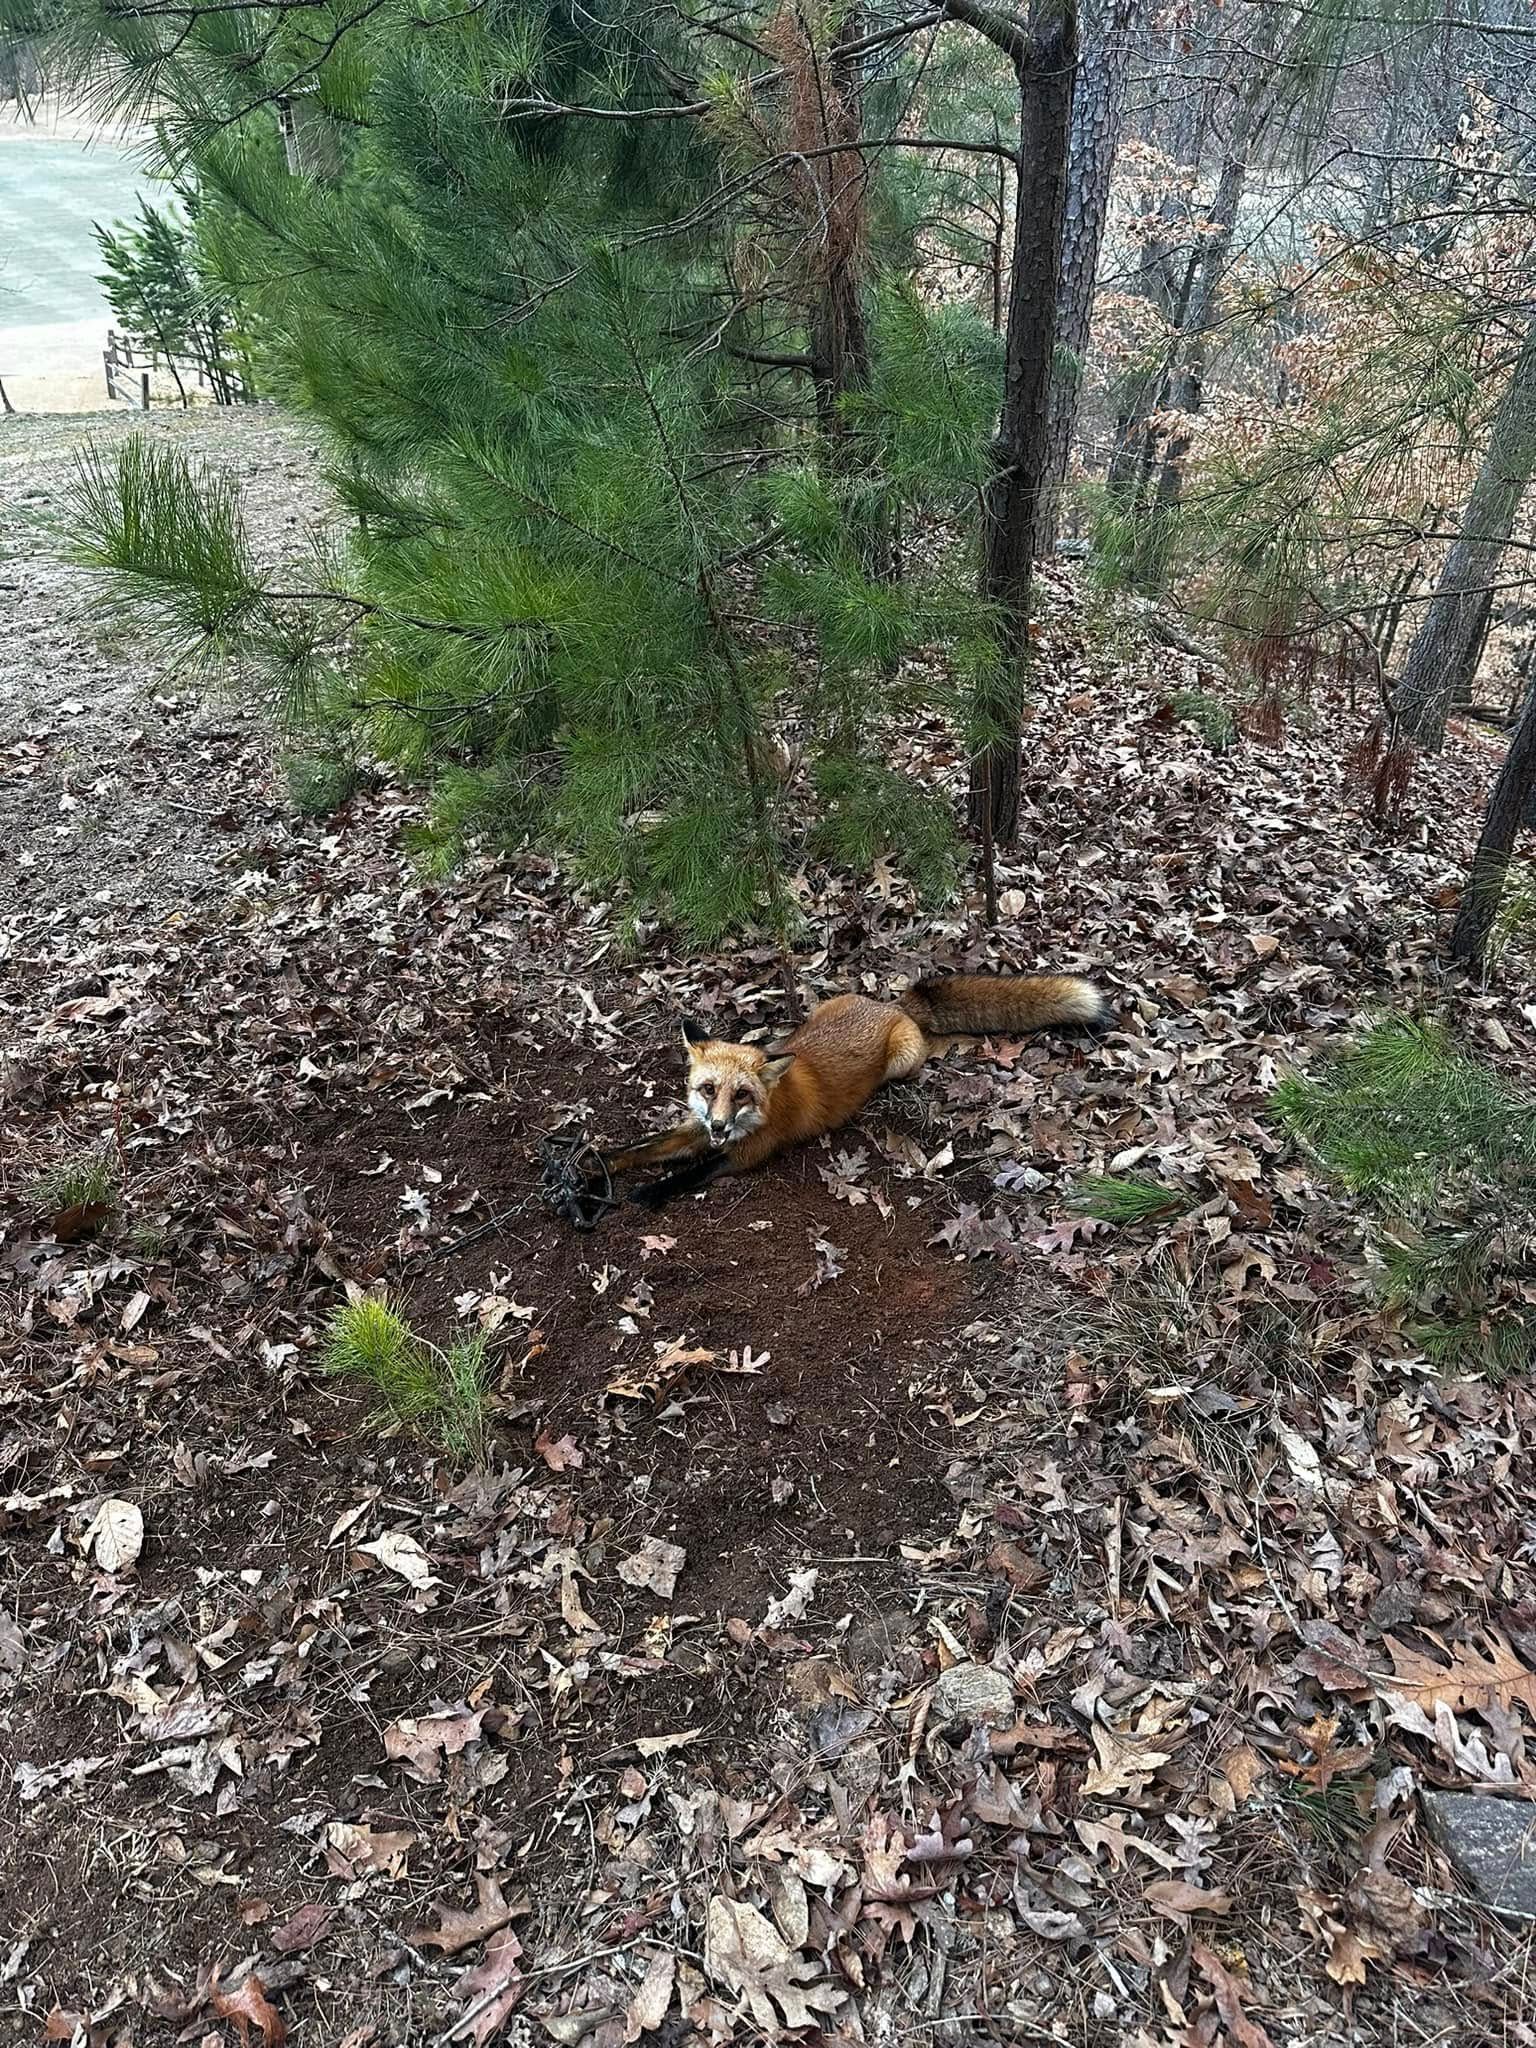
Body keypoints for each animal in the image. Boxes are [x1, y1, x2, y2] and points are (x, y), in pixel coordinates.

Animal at [598, 971, 1109, 1210]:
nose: (721, 1125)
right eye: (707, 1089)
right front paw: (594, 1166)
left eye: (741, 1095)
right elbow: (644, 1148)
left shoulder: (747, 1153)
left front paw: (648, 1192)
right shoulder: (697, 1130)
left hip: (902, 1061)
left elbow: (688, 1173)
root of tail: (891, 1006)